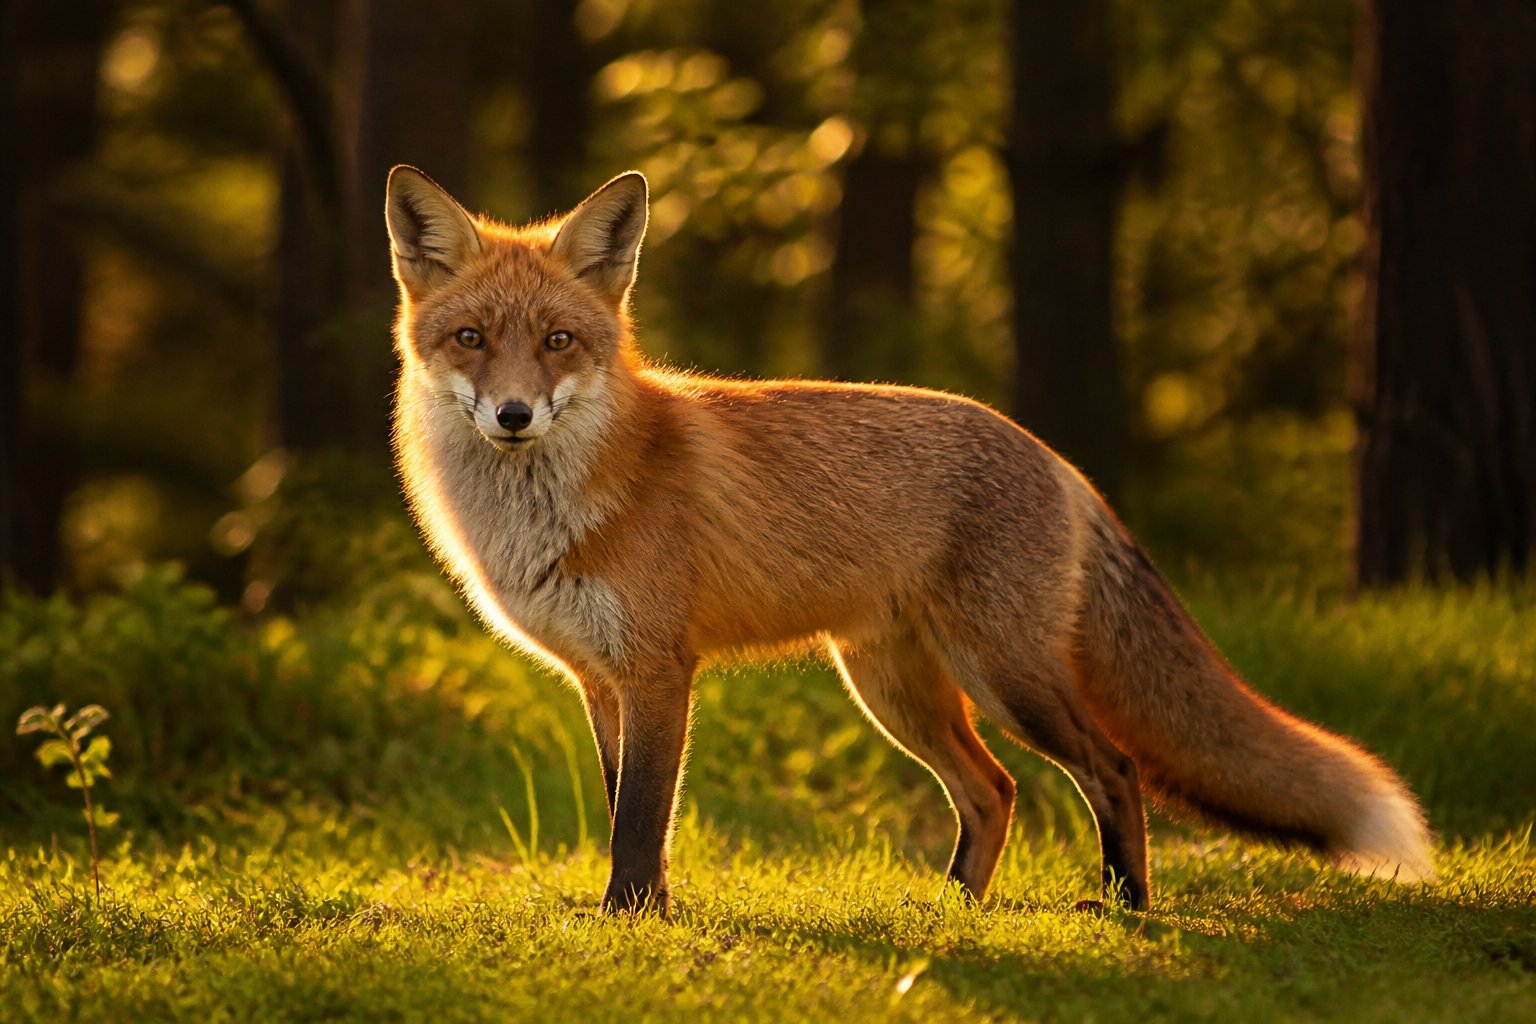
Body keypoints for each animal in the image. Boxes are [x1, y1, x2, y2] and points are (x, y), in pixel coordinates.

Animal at [384, 165, 1435, 914]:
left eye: (558, 342)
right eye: (472, 339)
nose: (514, 415)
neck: (556, 507)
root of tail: (1054, 457)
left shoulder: (658, 669)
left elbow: (642, 819)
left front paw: (633, 921)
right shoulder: (600, 681)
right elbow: (616, 811)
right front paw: (632, 914)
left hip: (1005, 677)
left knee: (1114, 768)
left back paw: (1122, 906)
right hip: (897, 690)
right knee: (995, 791)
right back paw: (952, 910)